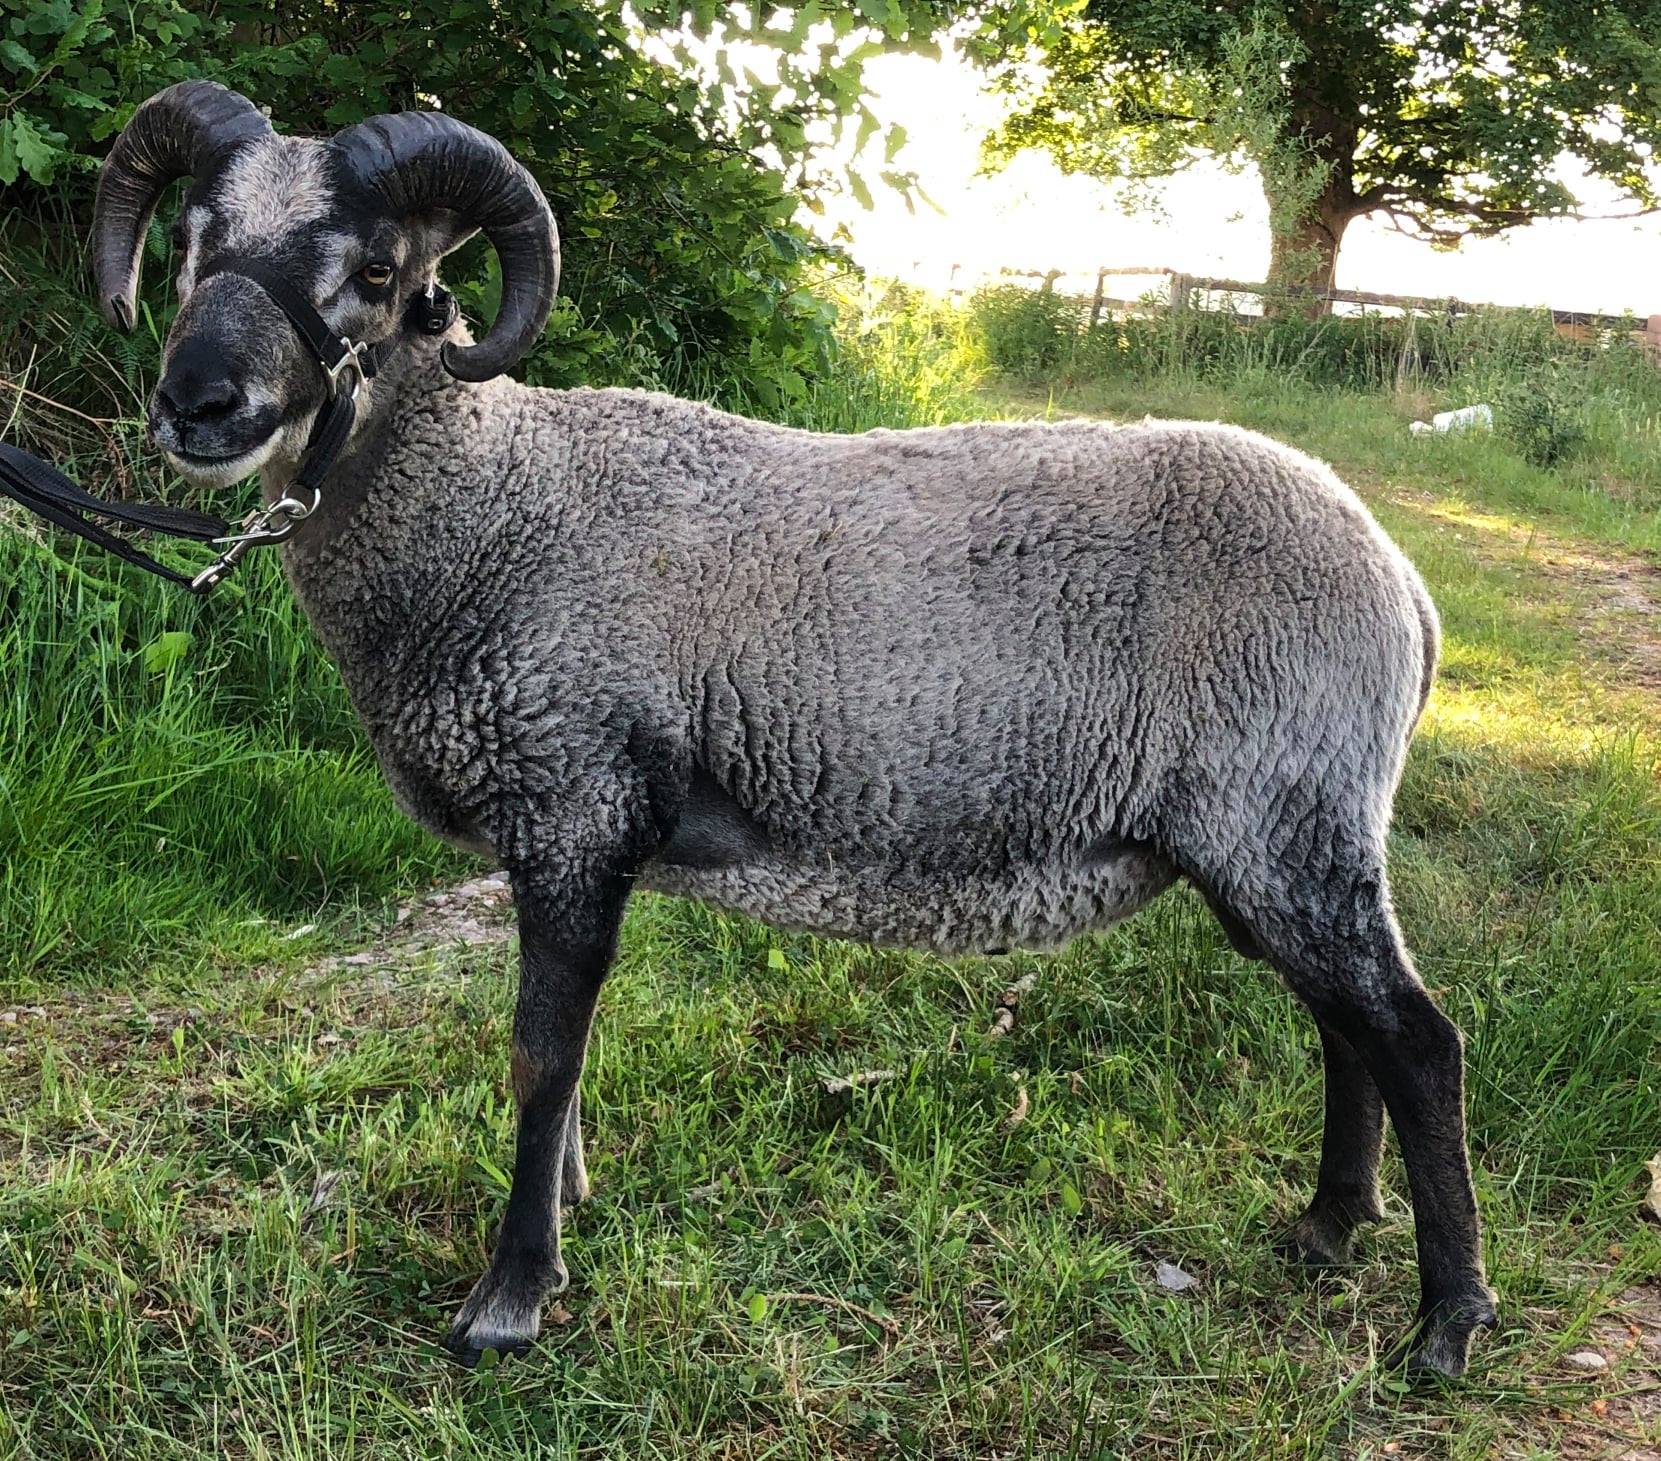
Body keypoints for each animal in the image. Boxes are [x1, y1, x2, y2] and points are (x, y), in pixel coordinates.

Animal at [84, 82, 1501, 1381]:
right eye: (195, 241)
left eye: (377, 271)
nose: (197, 404)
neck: (495, 512)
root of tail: (1401, 586)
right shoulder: (576, 838)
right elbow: (569, 1061)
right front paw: (569, 1208)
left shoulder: (571, 810)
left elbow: (539, 1058)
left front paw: (511, 1295)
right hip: (1276, 840)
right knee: (1346, 1026)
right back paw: (1326, 1230)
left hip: (1284, 818)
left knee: (1415, 1041)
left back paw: (1442, 1325)